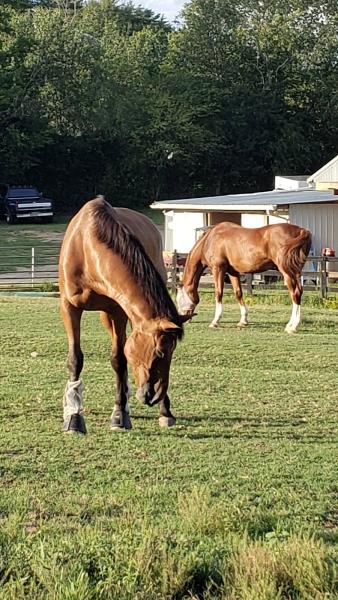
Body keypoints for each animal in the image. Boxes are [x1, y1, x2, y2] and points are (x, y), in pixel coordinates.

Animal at [58, 198, 190, 436]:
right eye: (160, 352)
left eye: (172, 352)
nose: (153, 395)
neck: (87, 248)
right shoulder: (69, 307)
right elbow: (75, 359)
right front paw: (74, 418)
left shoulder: (117, 311)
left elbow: (119, 359)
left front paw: (119, 415)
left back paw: (164, 411)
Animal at [177, 221, 312, 332]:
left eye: (178, 300)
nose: (181, 319)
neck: (209, 240)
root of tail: (302, 230)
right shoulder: (233, 272)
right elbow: (238, 293)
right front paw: (243, 321)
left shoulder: (218, 269)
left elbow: (218, 293)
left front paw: (215, 321)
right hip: (296, 272)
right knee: (299, 292)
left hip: (287, 272)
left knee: (294, 293)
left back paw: (292, 326)